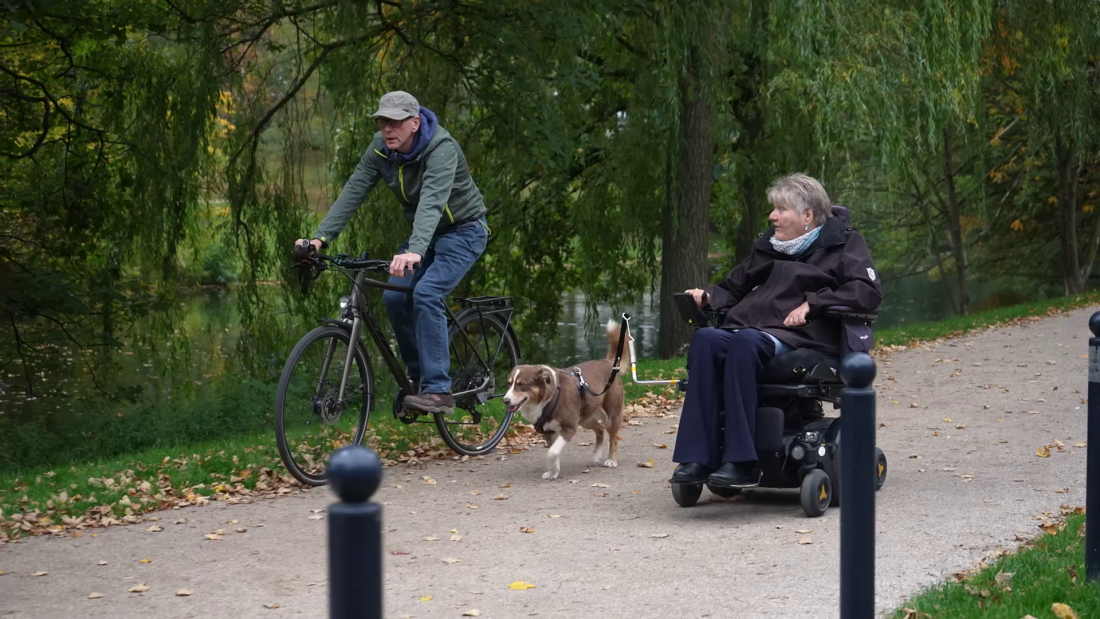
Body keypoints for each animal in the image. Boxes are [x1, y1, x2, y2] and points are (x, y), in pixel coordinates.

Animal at [501, 318, 624, 479]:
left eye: (521, 385)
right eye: (509, 384)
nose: (505, 400)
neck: (547, 400)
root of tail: (607, 362)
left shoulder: (569, 428)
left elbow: (552, 452)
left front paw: (553, 470)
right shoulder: (549, 432)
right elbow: (553, 452)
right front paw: (553, 471)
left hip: (612, 414)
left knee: (613, 436)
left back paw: (612, 460)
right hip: (585, 417)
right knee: (600, 429)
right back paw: (597, 454)